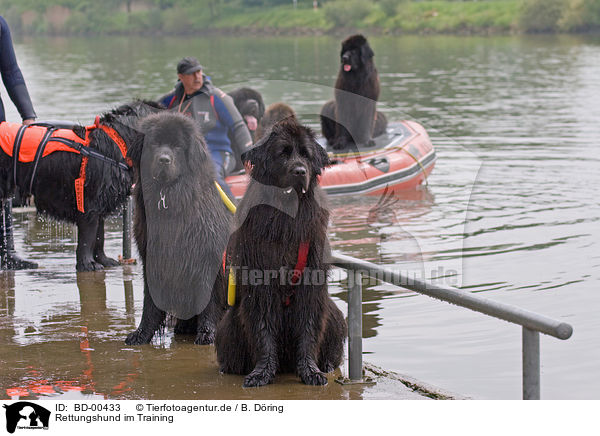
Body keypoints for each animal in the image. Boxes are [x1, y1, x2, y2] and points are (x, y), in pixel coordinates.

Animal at [125, 113, 229, 348]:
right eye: (154, 144)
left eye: (178, 147)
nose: (164, 159)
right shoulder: (152, 259)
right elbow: (150, 304)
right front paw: (141, 333)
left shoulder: (208, 260)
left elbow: (209, 301)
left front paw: (206, 334)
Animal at [216, 117, 346, 386]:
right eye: (282, 154)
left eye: (305, 155)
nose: (300, 172)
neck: (287, 214)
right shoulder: (260, 280)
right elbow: (263, 328)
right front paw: (261, 373)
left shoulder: (311, 280)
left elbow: (308, 327)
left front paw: (311, 371)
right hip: (228, 326)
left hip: (336, 318)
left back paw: (328, 365)